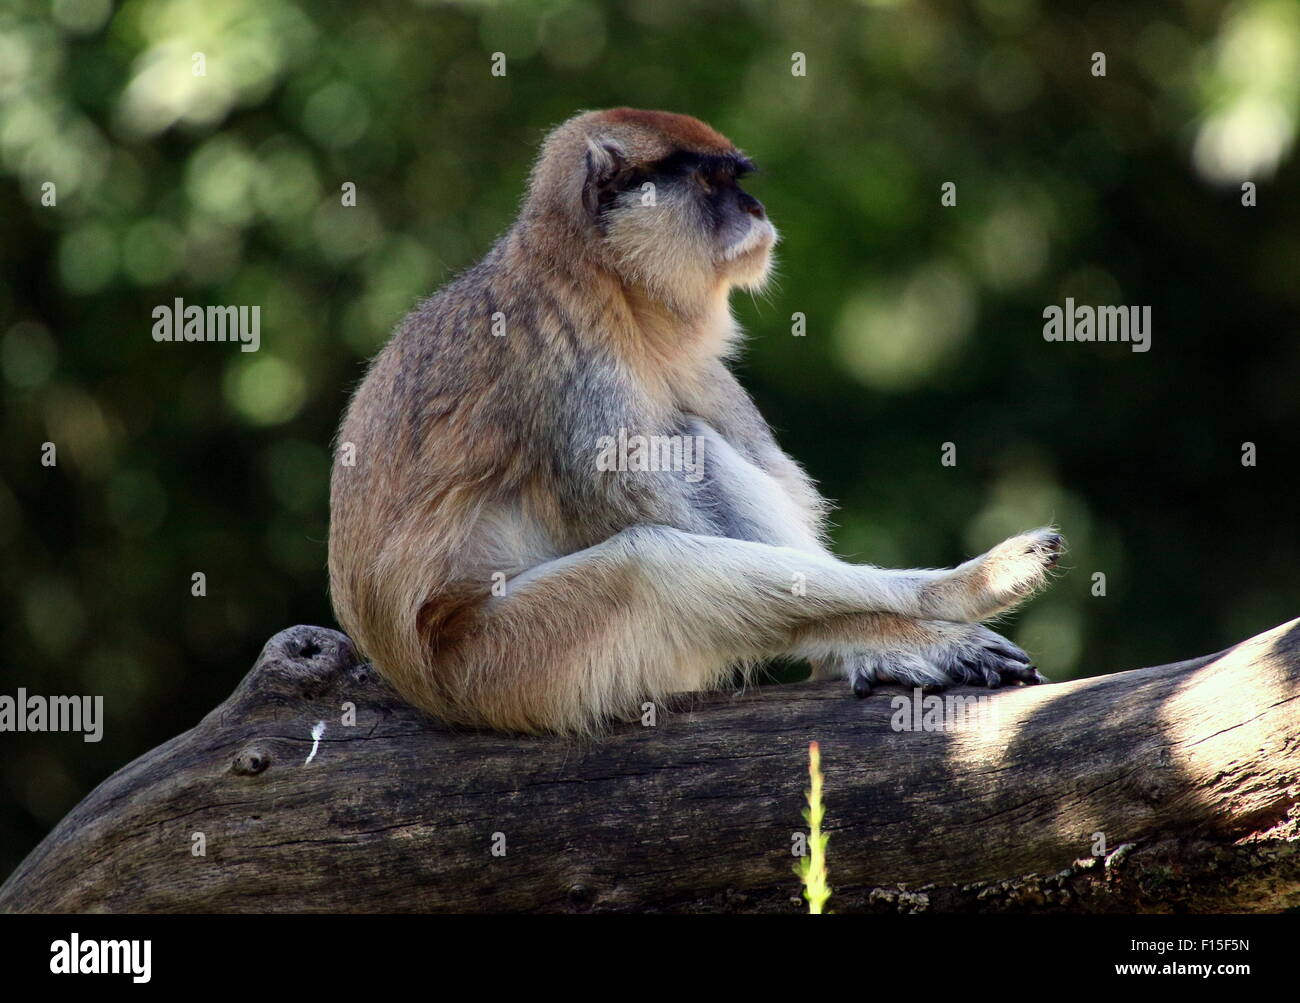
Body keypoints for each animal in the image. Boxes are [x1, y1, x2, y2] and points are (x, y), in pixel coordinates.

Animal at [328, 107, 1064, 736]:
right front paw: (887, 631)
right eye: (711, 182)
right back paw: (955, 594)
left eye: (736, 181)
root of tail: (417, 683)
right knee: (650, 564)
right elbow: (638, 512)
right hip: (503, 666)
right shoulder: (560, 357)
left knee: (691, 444)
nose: (756, 209)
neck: (610, 282)